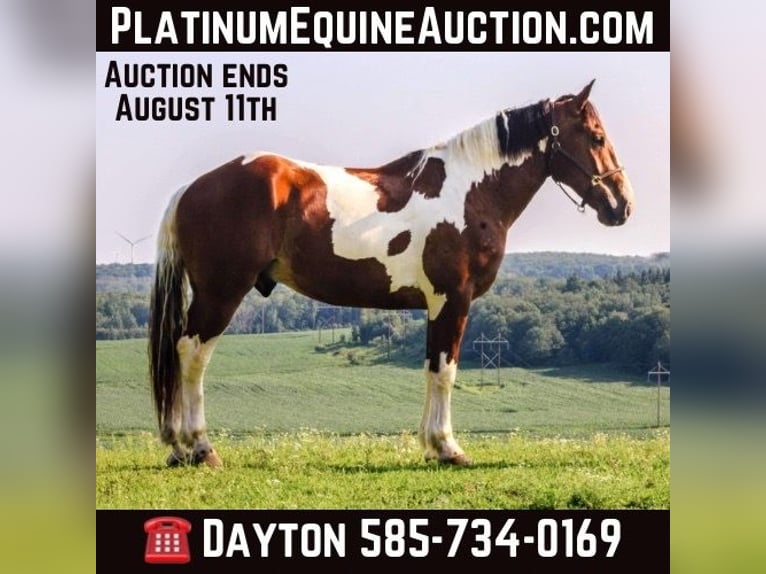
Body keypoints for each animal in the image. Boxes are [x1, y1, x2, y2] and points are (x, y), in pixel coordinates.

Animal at [149, 80, 634, 468]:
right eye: (595, 136)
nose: (622, 205)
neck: (469, 191)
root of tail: (191, 188)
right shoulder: (452, 299)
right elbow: (446, 371)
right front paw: (449, 449)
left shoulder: (436, 305)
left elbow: (431, 368)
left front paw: (432, 446)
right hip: (221, 292)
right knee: (192, 354)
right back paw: (200, 448)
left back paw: (178, 448)